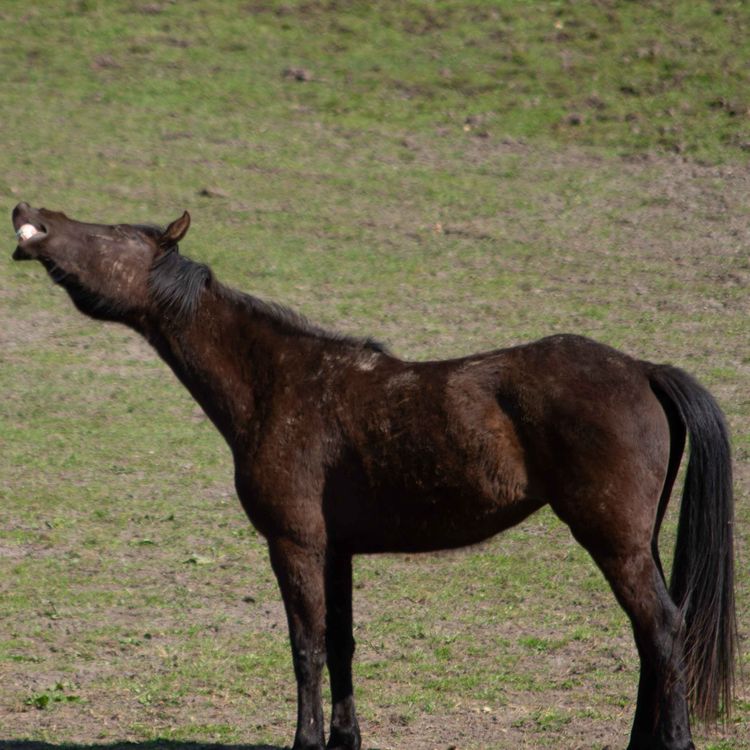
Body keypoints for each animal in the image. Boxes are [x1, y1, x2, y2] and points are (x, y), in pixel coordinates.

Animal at [13, 201, 740, 750]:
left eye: (110, 232)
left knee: (663, 630)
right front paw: (344, 738)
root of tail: (642, 369)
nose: (27, 214)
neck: (279, 383)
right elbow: (341, 643)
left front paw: (306, 741)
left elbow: (305, 645)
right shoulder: (337, 549)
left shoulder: (295, 544)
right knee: (652, 638)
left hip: (612, 539)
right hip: (637, 541)